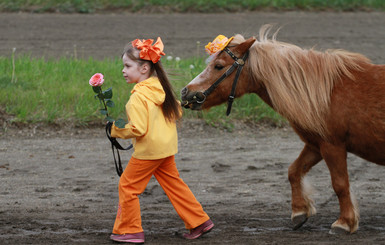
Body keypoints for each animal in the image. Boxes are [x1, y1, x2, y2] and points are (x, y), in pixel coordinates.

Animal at [180, 24, 384, 234]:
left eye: (219, 66)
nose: (185, 92)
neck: (325, 94)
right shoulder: (315, 145)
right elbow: (294, 171)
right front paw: (299, 211)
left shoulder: (332, 146)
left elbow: (340, 184)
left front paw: (344, 222)